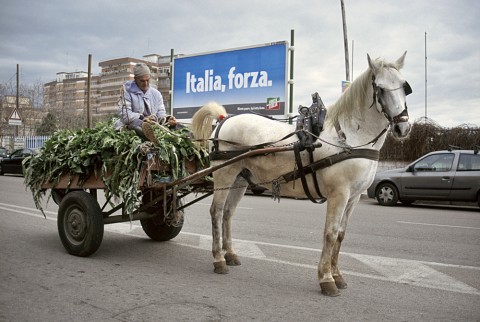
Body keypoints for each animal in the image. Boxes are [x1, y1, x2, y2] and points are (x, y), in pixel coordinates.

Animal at [191, 52, 412, 296]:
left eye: (404, 86)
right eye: (380, 88)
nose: (403, 128)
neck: (349, 137)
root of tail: (224, 119)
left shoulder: (353, 197)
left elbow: (341, 235)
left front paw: (337, 275)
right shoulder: (339, 194)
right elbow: (330, 233)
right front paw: (327, 279)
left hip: (240, 179)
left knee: (228, 213)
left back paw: (230, 254)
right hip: (224, 174)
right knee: (217, 212)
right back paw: (218, 259)